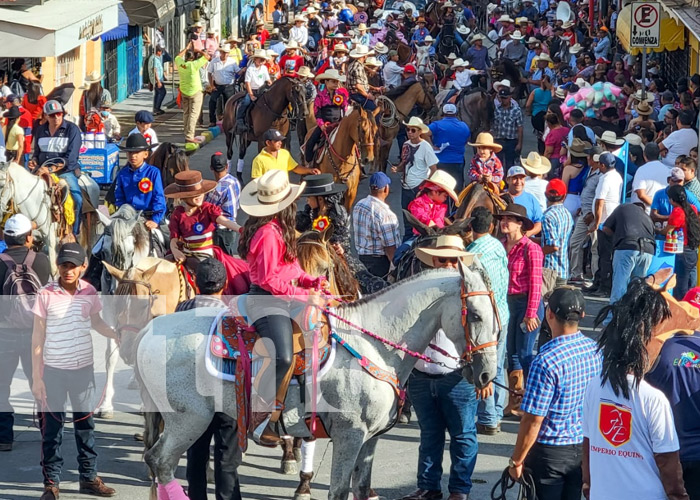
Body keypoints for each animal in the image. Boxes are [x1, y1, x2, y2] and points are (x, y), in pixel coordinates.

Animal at [115, 266, 500, 500]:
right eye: (474, 315)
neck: (373, 345)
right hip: (188, 420)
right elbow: (339, 491)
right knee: (161, 462)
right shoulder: (349, 435)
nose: (485, 375)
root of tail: (151, 329)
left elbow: (362, 489)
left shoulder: (370, 439)